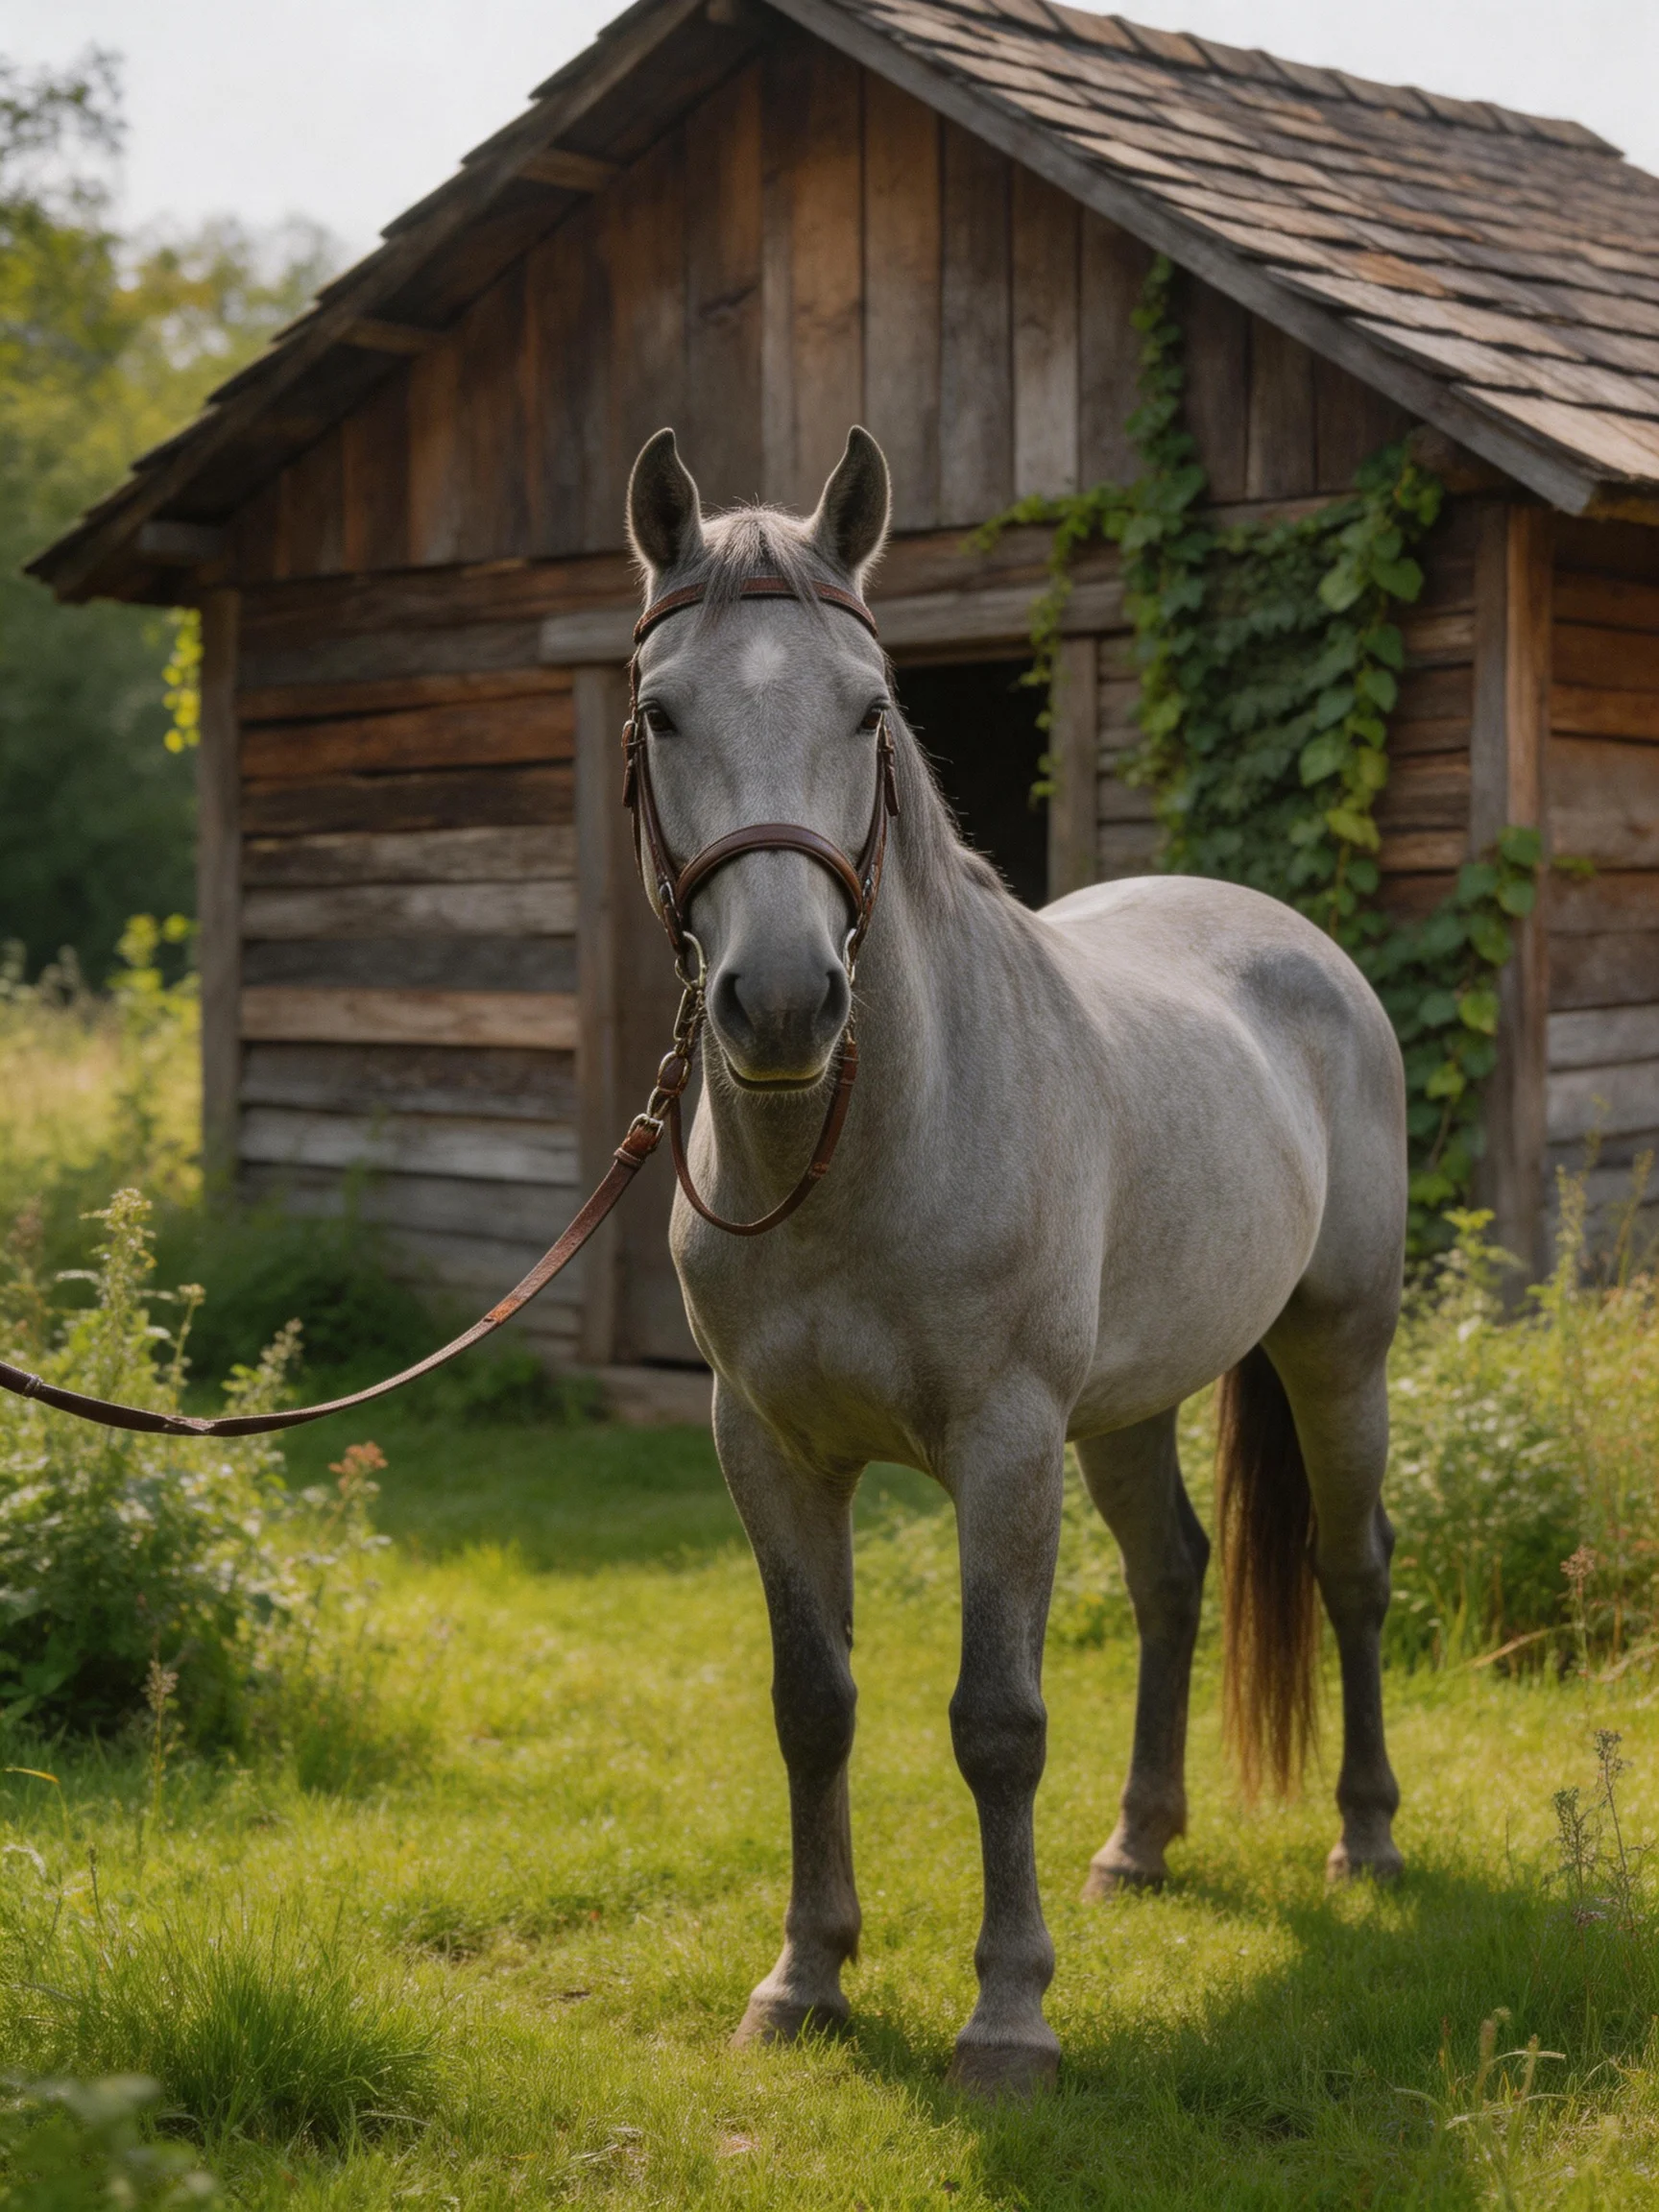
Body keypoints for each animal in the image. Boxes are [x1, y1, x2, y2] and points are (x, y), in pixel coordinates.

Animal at [622, 422, 1407, 2096]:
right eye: (661, 713)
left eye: (871, 709)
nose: (781, 1004)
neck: (859, 1153)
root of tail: (1295, 944)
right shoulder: (765, 1448)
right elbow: (813, 1705)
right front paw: (807, 1978)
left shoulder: (1002, 1444)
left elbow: (997, 1720)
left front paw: (1007, 2016)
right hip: (1126, 1405)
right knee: (1175, 1575)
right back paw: (1139, 1845)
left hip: (1337, 1350)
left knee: (1350, 1568)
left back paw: (1366, 1843)